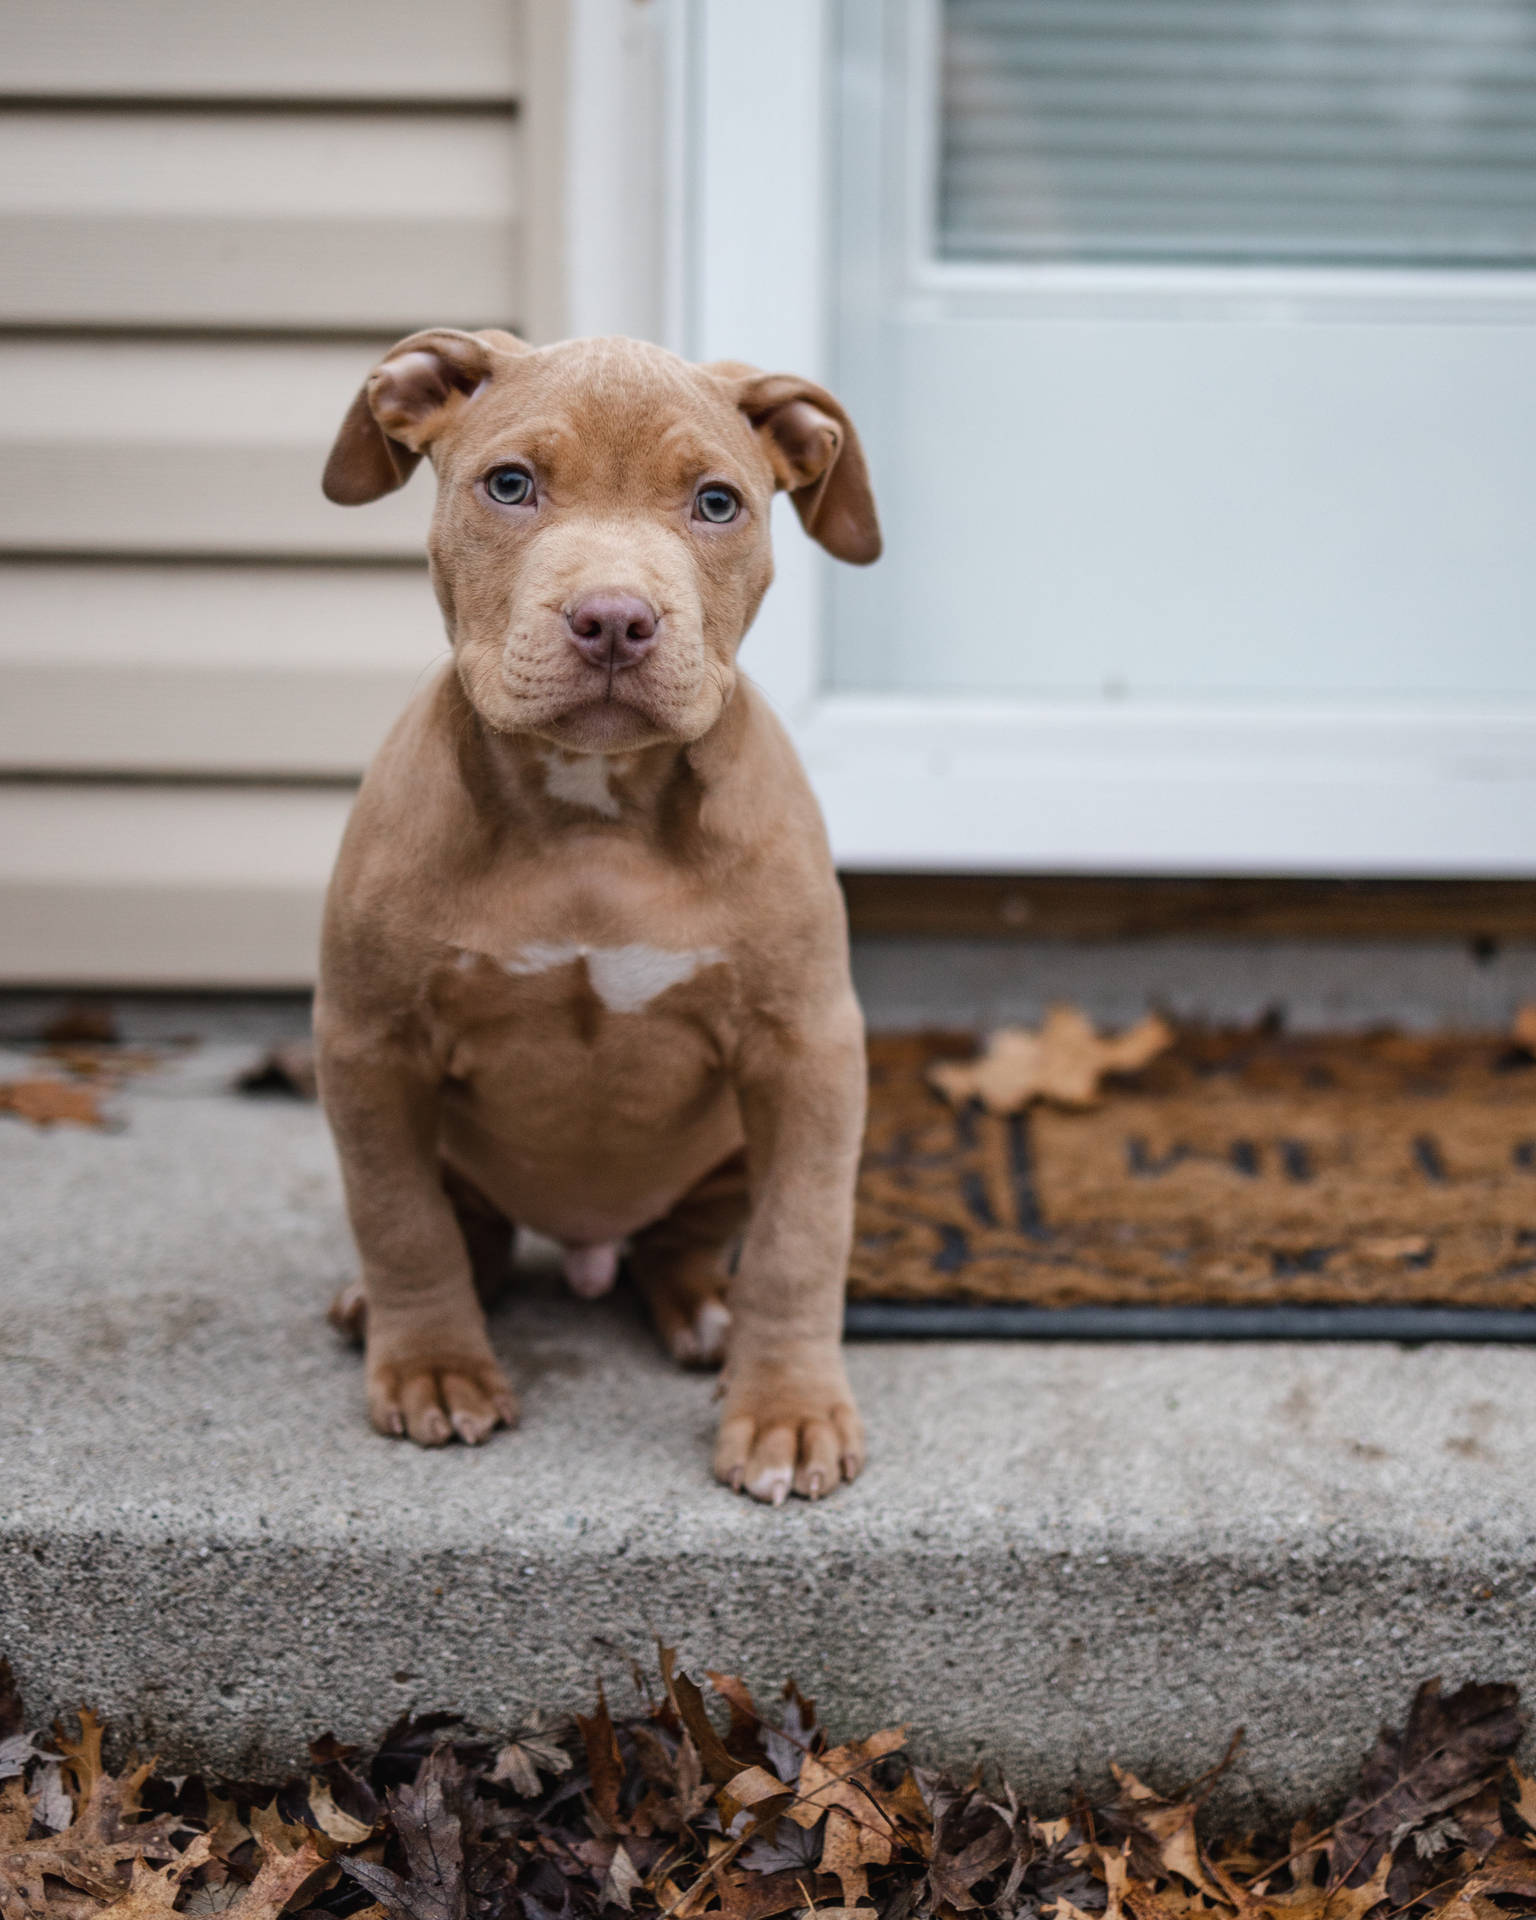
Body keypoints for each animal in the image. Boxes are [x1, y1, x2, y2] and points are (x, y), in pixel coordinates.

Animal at [318, 326, 883, 1497]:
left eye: (717, 503)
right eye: (510, 485)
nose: (615, 620)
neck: (593, 813)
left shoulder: (808, 1050)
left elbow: (802, 1241)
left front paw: (789, 1412)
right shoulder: (368, 1043)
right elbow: (399, 1219)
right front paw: (434, 1368)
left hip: (729, 1149)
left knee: (687, 1242)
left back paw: (708, 1312)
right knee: (464, 1227)